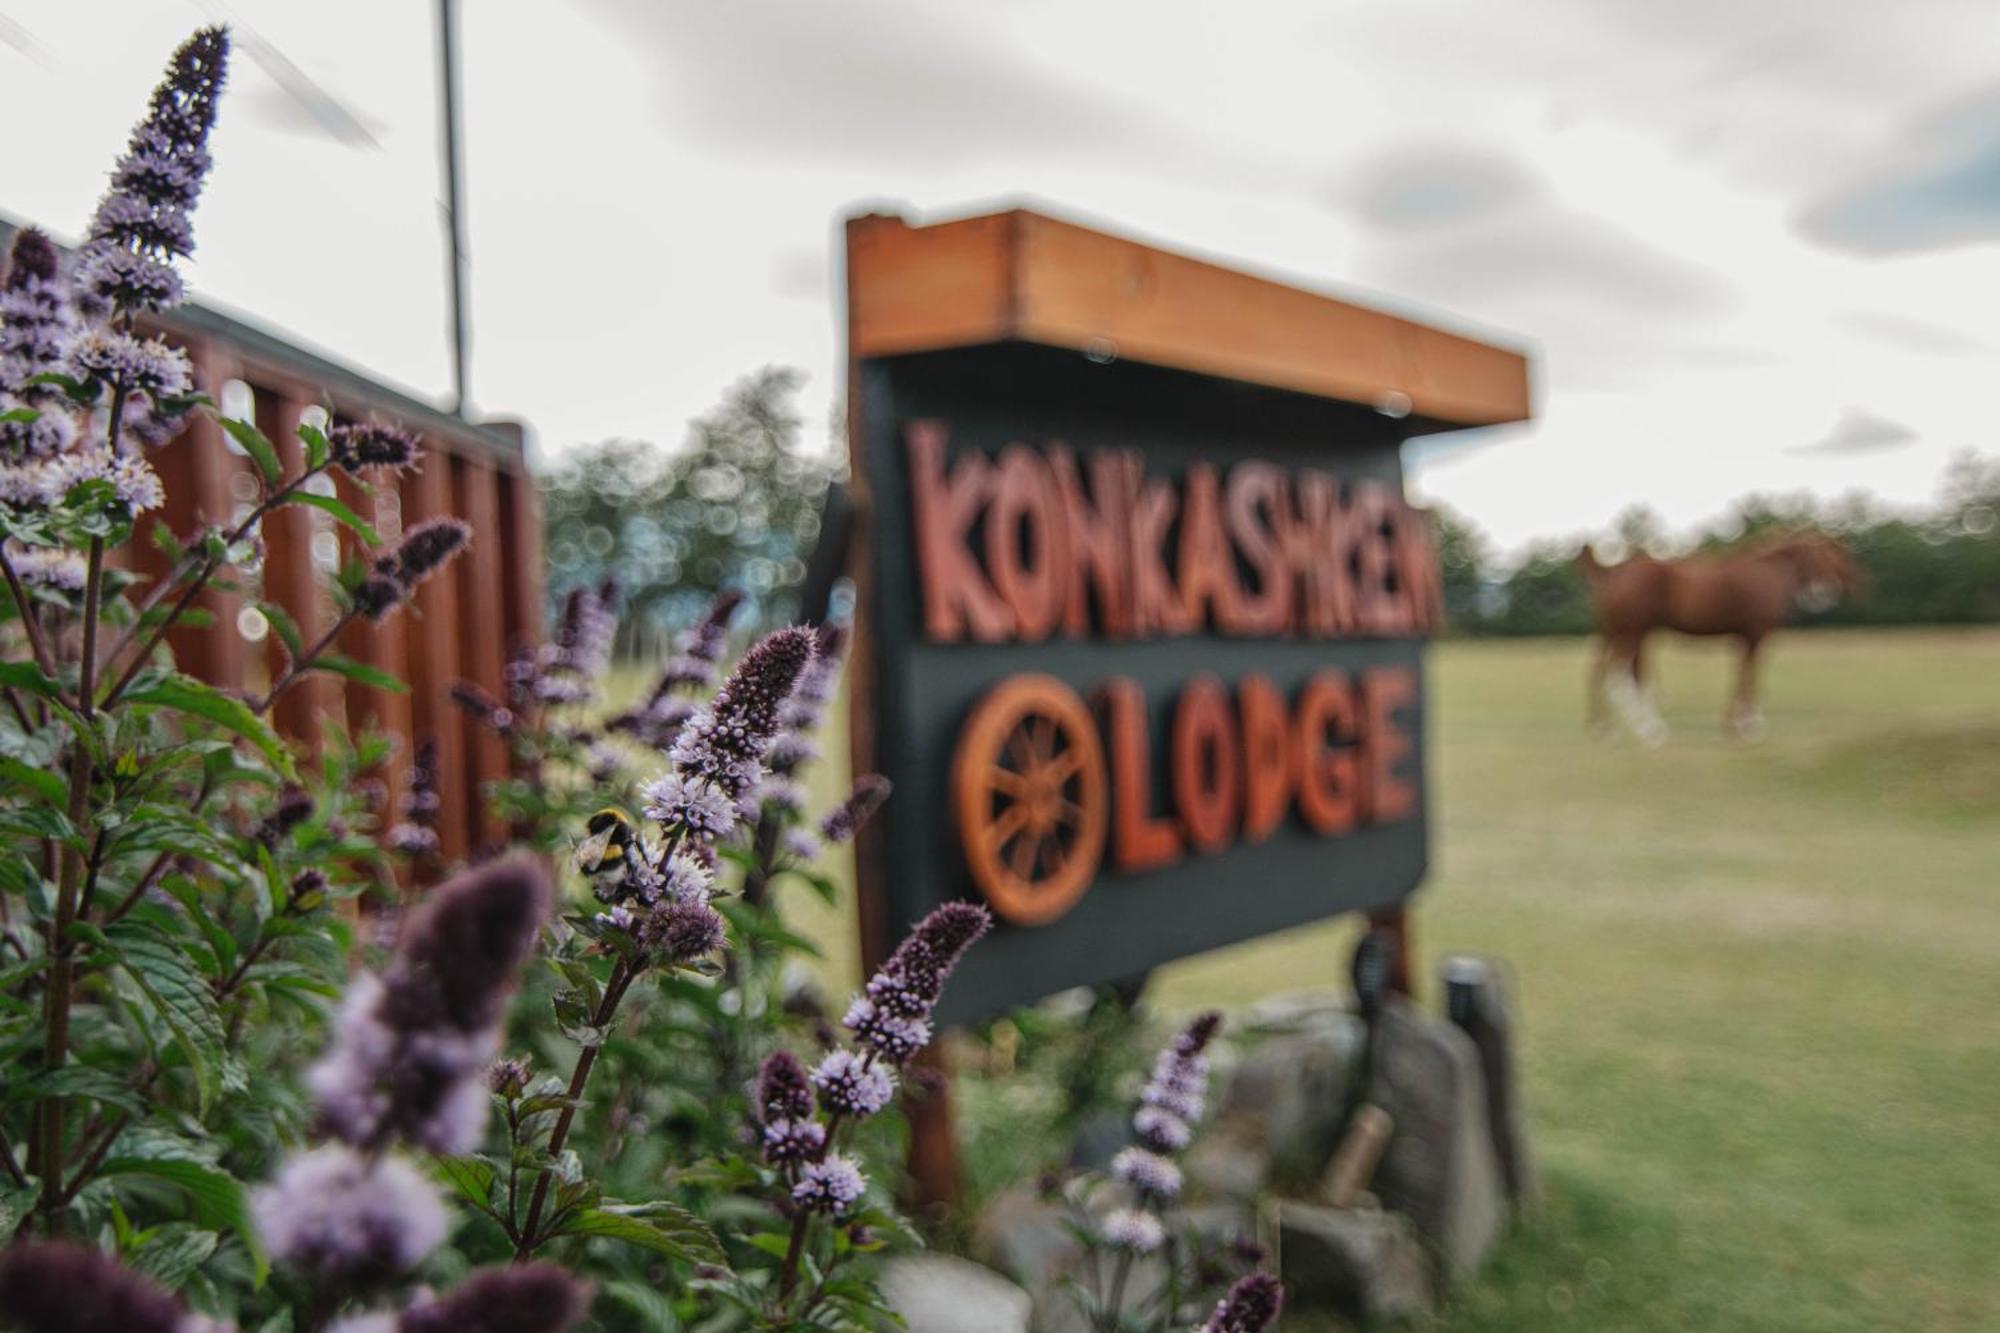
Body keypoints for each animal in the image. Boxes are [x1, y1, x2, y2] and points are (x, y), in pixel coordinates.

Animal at [1584, 528, 1864, 736]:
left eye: (1834, 557)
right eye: (1826, 556)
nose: (1826, 593)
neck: (1766, 574)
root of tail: (1615, 572)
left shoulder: (1743, 638)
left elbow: (1742, 674)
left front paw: (1736, 724)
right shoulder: (1756, 635)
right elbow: (1751, 675)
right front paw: (1750, 728)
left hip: (1620, 634)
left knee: (1610, 672)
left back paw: (1610, 729)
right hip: (1633, 634)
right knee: (1619, 675)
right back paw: (1650, 731)